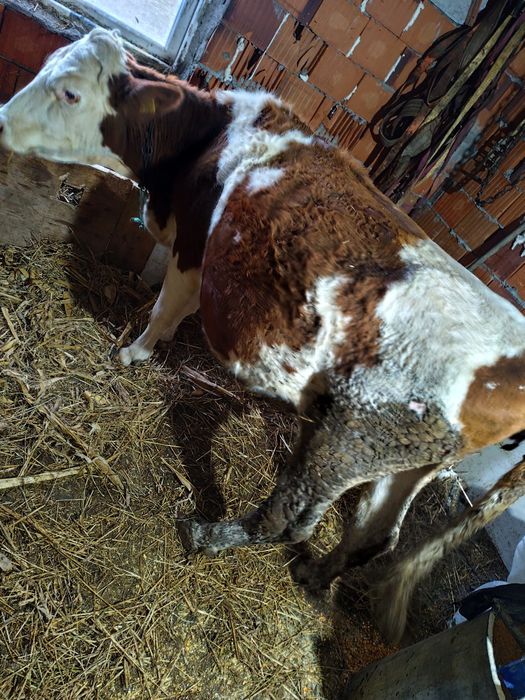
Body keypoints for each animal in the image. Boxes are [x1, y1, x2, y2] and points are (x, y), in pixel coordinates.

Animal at [1, 28, 524, 643]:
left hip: (347, 440)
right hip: (407, 461)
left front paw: (133, 351)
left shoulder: (193, 248)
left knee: (291, 520)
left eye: (70, 93)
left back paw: (209, 536)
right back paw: (315, 576)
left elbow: (167, 308)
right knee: (377, 537)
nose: (2, 118)